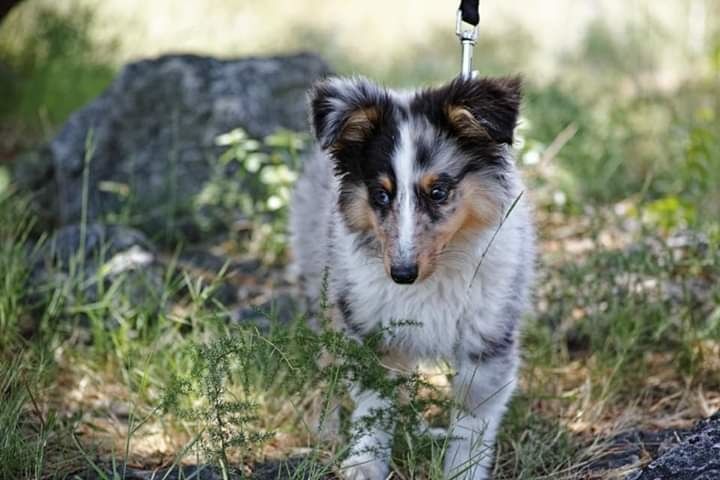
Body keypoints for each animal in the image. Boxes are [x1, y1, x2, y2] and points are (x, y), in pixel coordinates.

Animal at [288, 76, 536, 480]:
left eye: (438, 192)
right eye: (380, 194)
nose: (401, 274)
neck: (436, 275)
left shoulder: (487, 337)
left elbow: (472, 418)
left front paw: (461, 470)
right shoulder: (372, 330)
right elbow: (374, 405)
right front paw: (364, 465)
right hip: (322, 288)